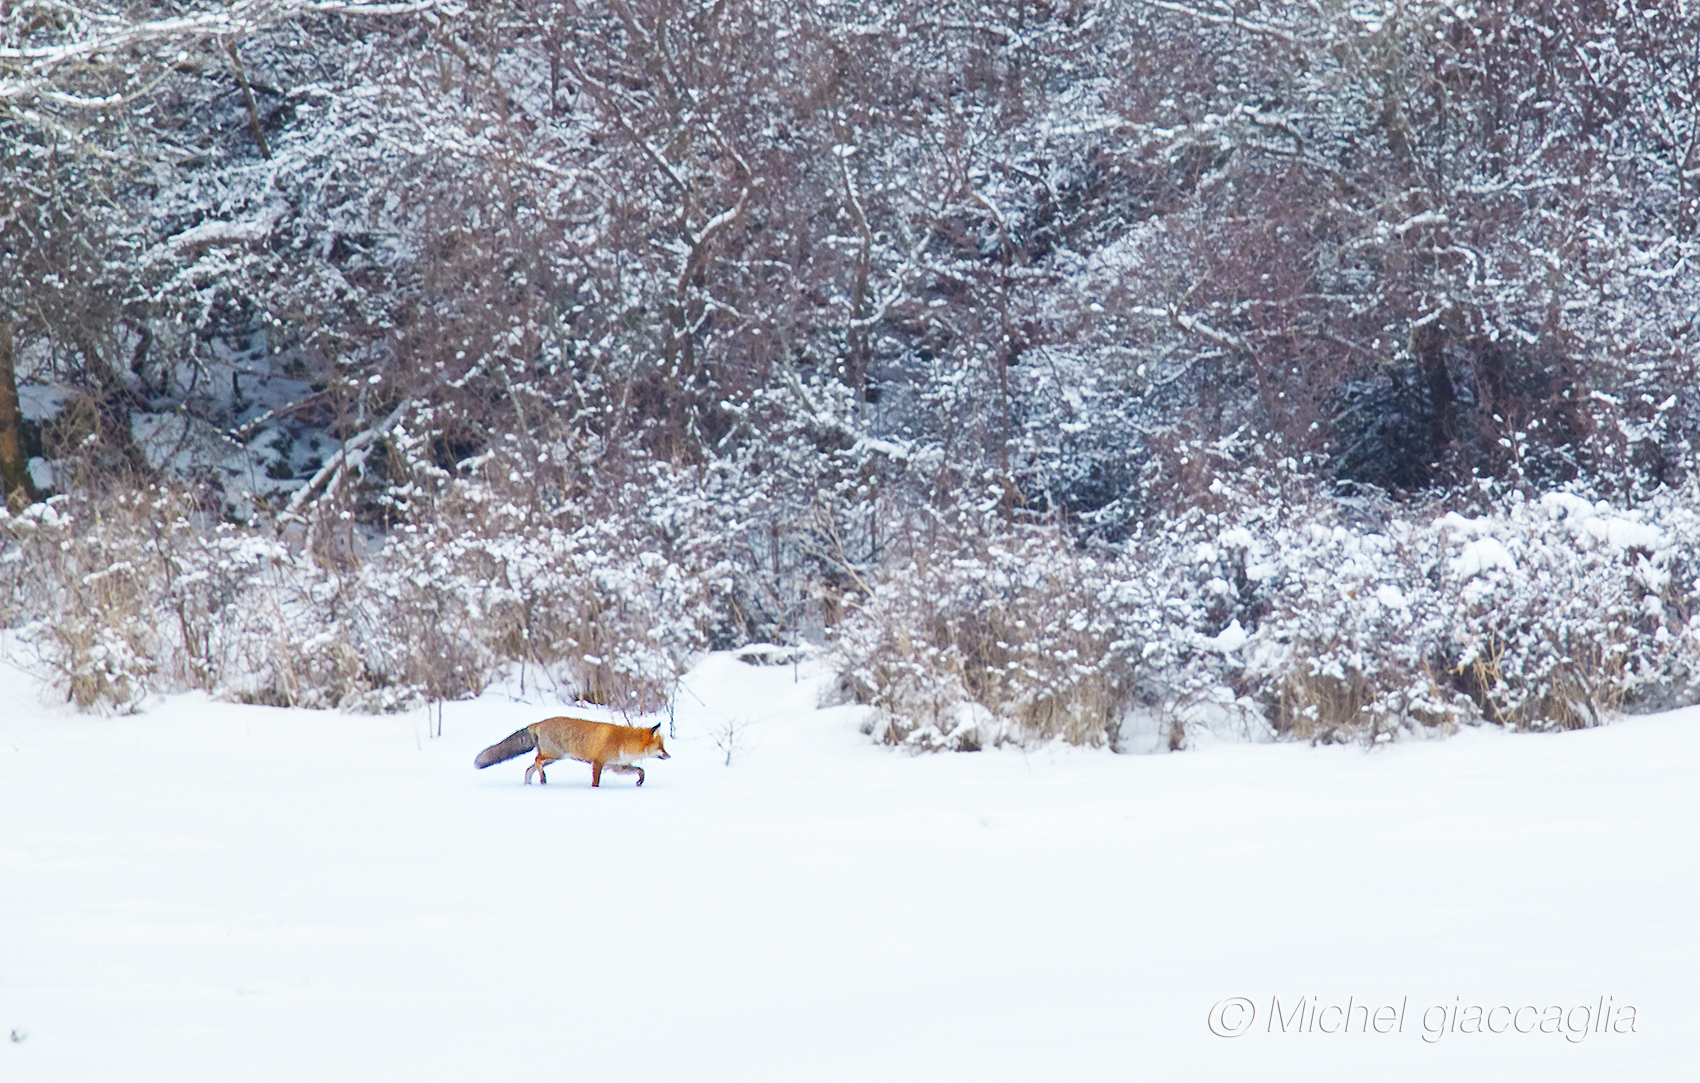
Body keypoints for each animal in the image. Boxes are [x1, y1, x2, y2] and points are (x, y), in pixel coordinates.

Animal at [474, 717, 670, 787]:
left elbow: (640, 770)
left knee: (529, 768)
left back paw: (530, 784)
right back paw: (542, 779)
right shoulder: (598, 763)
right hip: (553, 755)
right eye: (661, 747)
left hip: (553, 759)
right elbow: (595, 782)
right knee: (536, 761)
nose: (669, 756)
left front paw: (640, 782)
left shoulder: (616, 766)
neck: (624, 741)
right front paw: (595, 791)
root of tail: (538, 723)